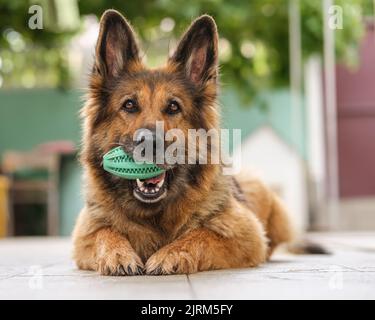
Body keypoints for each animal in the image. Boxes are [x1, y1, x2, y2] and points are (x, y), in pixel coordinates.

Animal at [72, 9, 294, 276]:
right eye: (129, 105)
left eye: (173, 107)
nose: (150, 144)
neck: (154, 214)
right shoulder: (85, 232)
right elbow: (106, 232)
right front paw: (118, 254)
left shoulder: (247, 233)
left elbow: (201, 234)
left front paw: (171, 254)